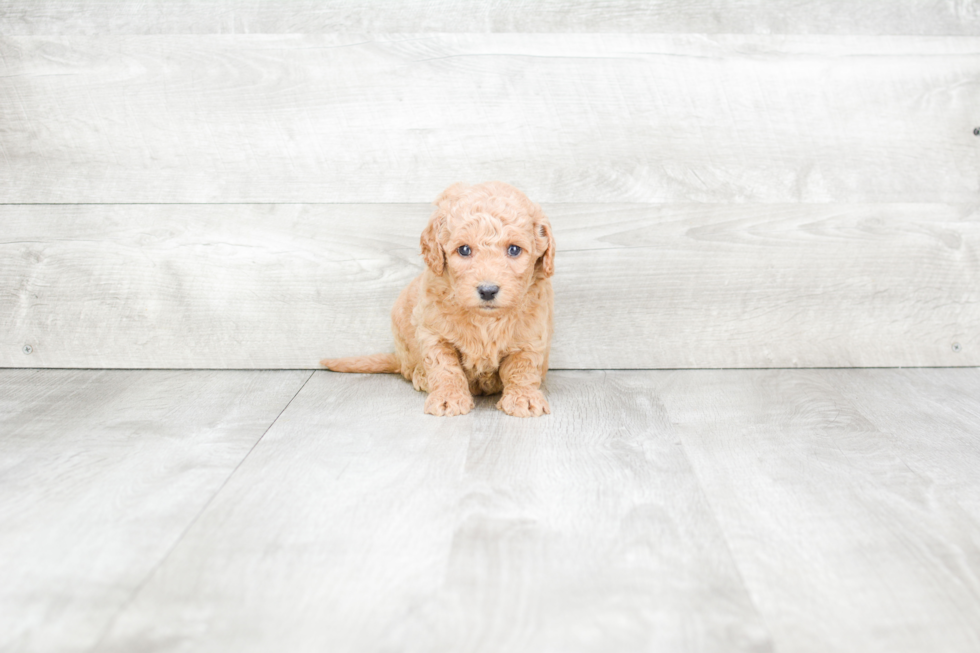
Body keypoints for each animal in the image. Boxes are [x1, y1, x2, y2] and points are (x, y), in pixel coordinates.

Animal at [320, 182, 552, 418]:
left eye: (514, 249)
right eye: (464, 250)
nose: (488, 290)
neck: (484, 319)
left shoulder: (530, 336)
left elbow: (522, 368)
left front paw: (524, 398)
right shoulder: (434, 333)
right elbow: (445, 368)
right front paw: (449, 397)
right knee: (409, 368)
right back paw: (421, 376)